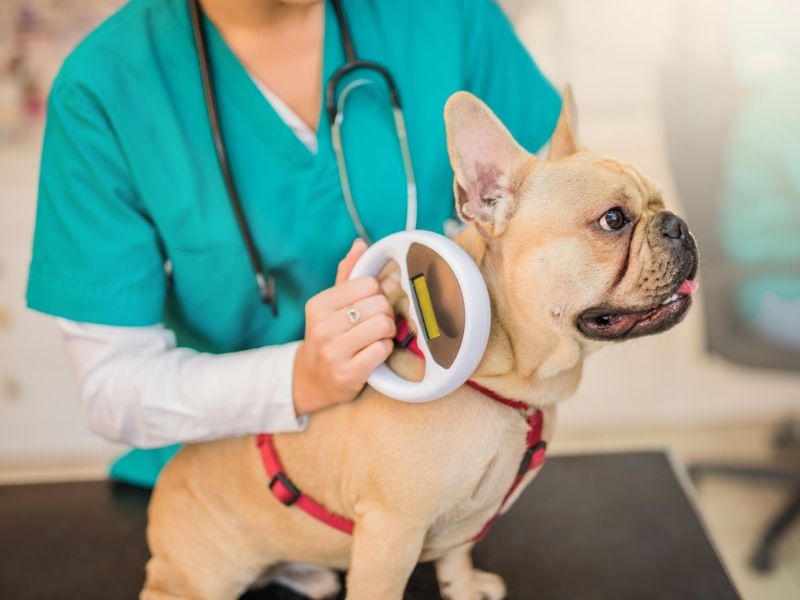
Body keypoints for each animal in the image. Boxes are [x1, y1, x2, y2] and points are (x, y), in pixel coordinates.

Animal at [141, 88, 696, 600]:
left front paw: (463, 588)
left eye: (660, 201)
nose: (679, 225)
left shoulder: (461, 523)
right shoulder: (391, 533)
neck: (509, 384)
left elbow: (455, 555)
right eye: (613, 219)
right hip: (199, 574)